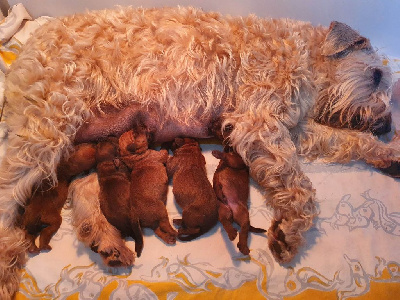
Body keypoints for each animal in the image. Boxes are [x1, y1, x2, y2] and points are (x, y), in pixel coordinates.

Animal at [0, 5, 400, 296]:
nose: (386, 125)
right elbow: (299, 186)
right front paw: (290, 231)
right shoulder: (259, 122)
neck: (306, 54)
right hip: (48, 127)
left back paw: (107, 243)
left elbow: (346, 141)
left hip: (94, 144)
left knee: (83, 191)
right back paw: (8, 265)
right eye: (377, 76)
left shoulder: (295, 127)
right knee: (8, 192)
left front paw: (387, 154)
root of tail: (28, 49)